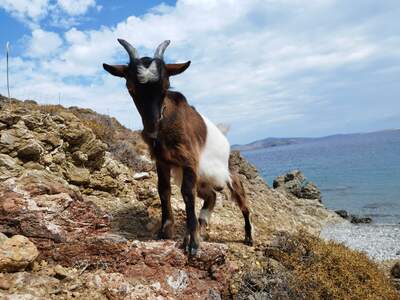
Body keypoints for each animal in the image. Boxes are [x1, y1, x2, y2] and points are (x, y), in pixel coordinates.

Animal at [103, 39, 253, 255]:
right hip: (203, 180)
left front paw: (192, 241)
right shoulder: (162, 161)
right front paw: (166, 230)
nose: (151, 128)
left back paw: (248, 237)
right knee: (212, 196)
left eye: (166, 87)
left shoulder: (189, 161)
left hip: (228, 175)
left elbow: (187, 194)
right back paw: (203, 221)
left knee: (243, 205)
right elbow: (163, 190)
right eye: (130, 88)